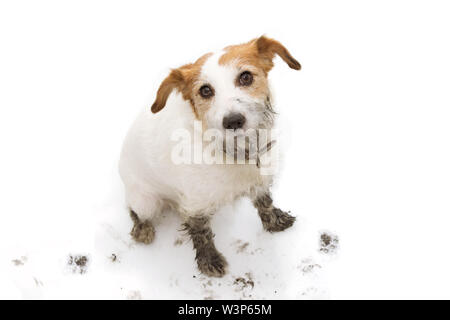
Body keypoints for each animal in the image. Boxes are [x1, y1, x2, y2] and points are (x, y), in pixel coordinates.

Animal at [120, 35, 302, 278]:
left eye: (246, 77)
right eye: (205, 90)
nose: (233, 121)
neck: (234, 152)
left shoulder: (260, 178)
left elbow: (265, 201)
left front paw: (274, 220)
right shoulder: (195, 203)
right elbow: (201, 232)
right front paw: (209, 260)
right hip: (145, 201)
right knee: (134, 210)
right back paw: (142, 228)